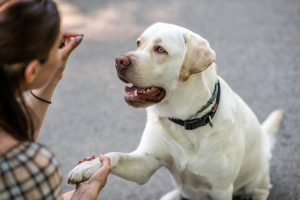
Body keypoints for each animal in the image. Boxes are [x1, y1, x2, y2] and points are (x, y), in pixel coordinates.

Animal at [68, 23, 284, 200]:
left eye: (160, 49)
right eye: (138, 43)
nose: (119, 60)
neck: (185, 121)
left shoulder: (221, 189)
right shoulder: (146, 163)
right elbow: (115, 156)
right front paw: (88, 166)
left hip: (258, 180)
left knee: (260, 191)